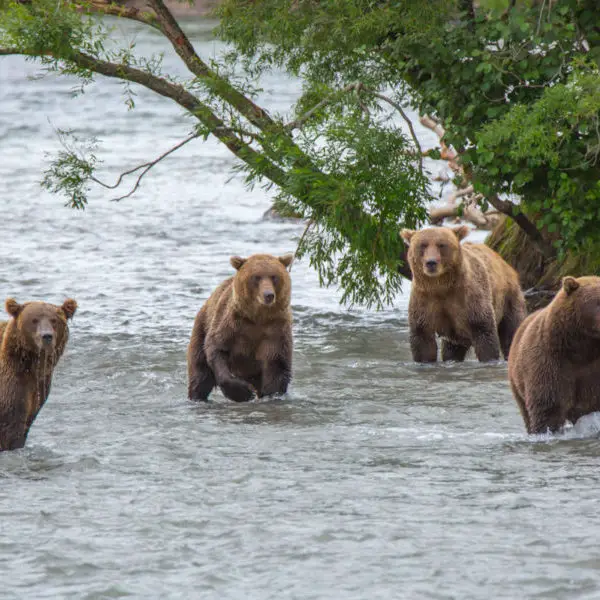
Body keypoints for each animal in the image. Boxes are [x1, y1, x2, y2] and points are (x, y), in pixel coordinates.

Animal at [186, 253, 292, 404]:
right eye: (256, 277)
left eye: (274, 276)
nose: (268, 295)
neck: (257, 318)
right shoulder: (231, 325)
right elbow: (217, 349)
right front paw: (244, 392)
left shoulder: (275, 330)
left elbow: (277, 363)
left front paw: (271, 394)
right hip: (202, 327)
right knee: (200, 373)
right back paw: (197, 397)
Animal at [404, 225, 524, 364]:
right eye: (423, 245)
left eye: (441, 244)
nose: (431, 262)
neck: (441, 286)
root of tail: (504, 262)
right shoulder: (424, 300)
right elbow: (422, 339)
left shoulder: (469, 298)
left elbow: (484, 332)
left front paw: (489, 358)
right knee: (451, 349)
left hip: (508, 298)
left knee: (511, 330)